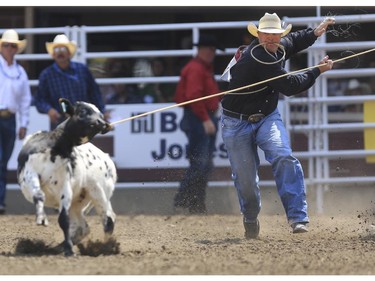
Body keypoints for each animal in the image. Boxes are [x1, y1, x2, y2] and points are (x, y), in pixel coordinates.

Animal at [17, 98, 117, 256]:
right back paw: (58, 247)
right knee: (83, 227)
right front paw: (41, 218)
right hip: (79, 201)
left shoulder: (65, 187)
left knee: (108, 220)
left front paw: (69, 250)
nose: (102, 123)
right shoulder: (29, 175)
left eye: (100, 114)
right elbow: (39, 195)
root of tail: (107, 159)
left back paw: (104, 247)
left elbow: (64, 220)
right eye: (82, 111)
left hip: (99, 192)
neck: (55, 148)